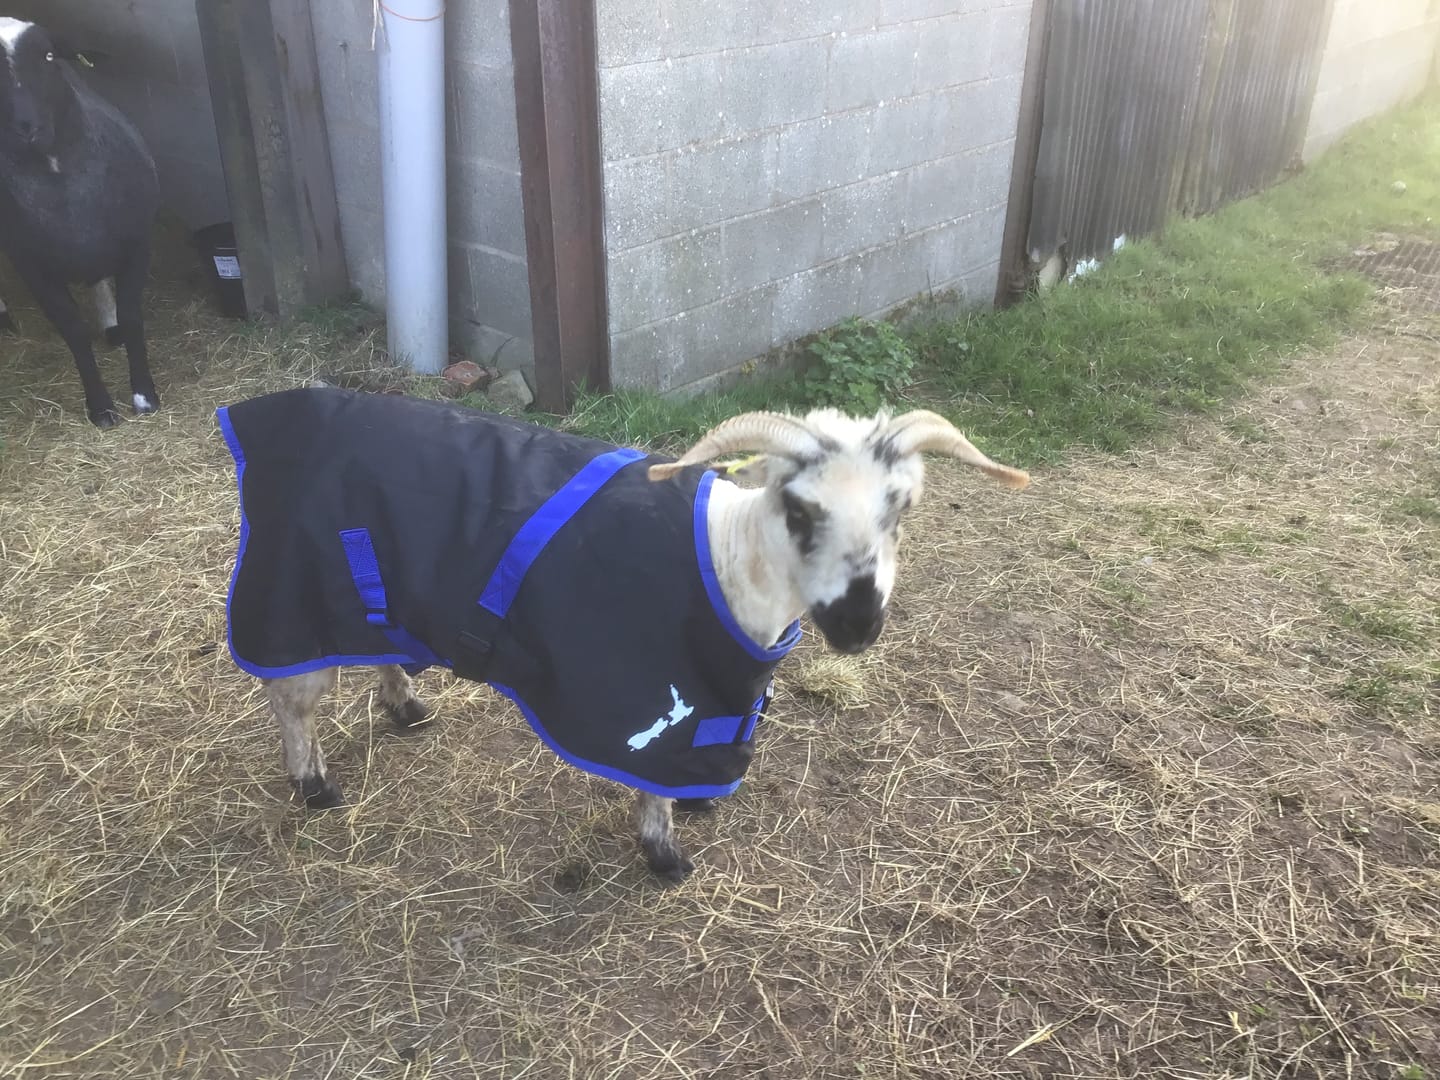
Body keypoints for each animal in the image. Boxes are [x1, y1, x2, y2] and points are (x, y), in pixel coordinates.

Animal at [0, 18, 161, 427]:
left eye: (48, 55)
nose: (27, 128)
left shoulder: (137, 243)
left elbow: (133, 316)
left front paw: (144, 397)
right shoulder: (33, 268)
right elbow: (73, 332)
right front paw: (101, 408)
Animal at [215, 389, 1030, 883]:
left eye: (901, 509)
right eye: (799, 511)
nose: (859, 623)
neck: (730, 557)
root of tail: (268, 414)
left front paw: (698, 808)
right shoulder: (647, 696)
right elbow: (653, 783)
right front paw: (665, 855)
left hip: (374, 593)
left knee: (376, 648)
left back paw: (405, 707)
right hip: (294, 597)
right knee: (291, 701)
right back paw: (315, 785)